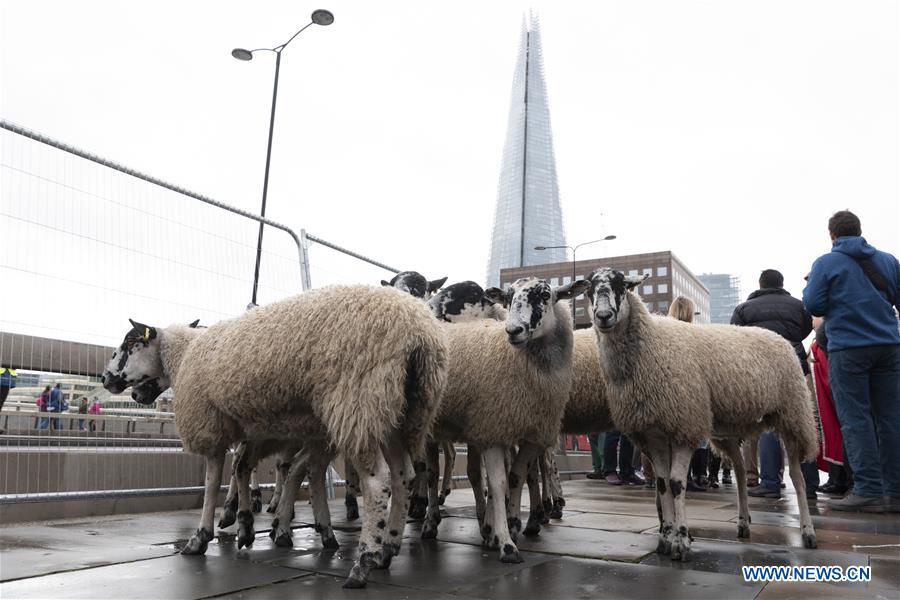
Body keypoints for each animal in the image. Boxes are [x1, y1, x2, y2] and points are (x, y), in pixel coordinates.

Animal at [101, 285, 448, 589]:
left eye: (129, 345)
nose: (105, 379)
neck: (184, 355)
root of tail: (420, 333)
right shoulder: (252, 428)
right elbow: (241, 468)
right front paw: (244, 525)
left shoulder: (212, 421)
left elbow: (213, 479)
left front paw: (201, 536)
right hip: (396, 413)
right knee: (403, 475)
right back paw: (387, 548)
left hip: (359, 399)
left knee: (378, 484)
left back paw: (363, 562)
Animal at [421, 277, 588, 562]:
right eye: (508, 298)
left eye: (545, 295)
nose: (513, 331)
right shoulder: (493, 429)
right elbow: (498, 484)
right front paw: (506, 542)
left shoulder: (531, 433)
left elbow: (516, 477)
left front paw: (506, 526)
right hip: (432, 427)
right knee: (432, 474)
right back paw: (430, 523)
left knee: (472, 473)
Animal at [584, 268, 819, 560]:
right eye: (588, 289)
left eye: (622, 286)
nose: (603, 316)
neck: (650, 345)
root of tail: (776, 335)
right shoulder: (654, 432)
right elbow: (662, 483)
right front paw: (666, 538)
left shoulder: (686, 423)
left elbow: (675, 483)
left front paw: (681, 540)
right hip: (730, 430)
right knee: (739, 471)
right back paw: (743, 524)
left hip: (792, 413)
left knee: (798, 477)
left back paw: (808, 532)